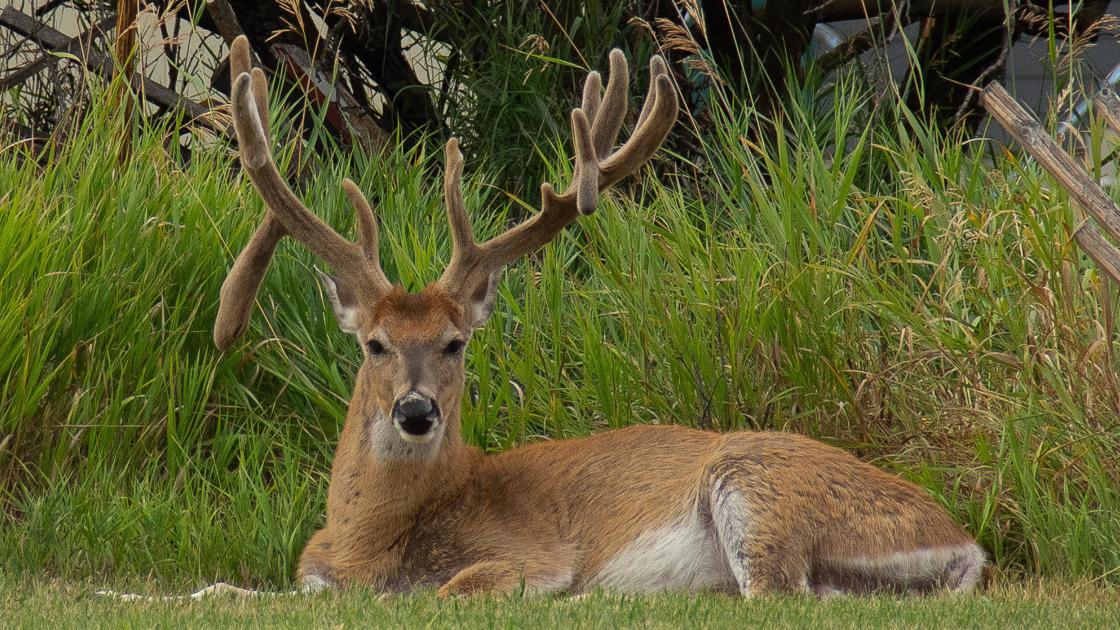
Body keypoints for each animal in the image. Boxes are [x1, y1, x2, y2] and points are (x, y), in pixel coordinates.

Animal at [211, 35, 986, 598]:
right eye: (375, 343)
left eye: (456, 342)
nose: (416, 411)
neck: (365, 544)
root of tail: (967, 544)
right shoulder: (310, 575)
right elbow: (238, 589)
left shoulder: (528, 556)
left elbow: (452, 590)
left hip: (754, 481)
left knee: (777, 592)